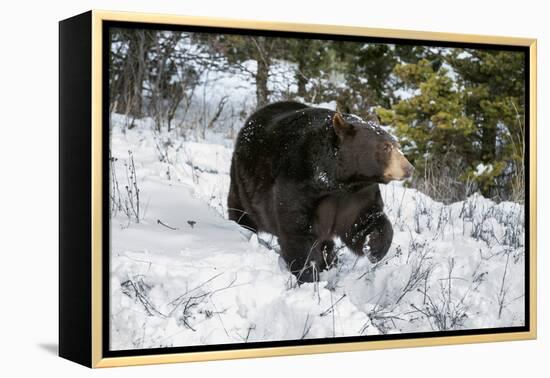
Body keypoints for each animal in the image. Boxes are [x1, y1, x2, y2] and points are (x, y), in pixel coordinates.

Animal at [229, 102, 414, 282]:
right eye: (386, 147)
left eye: (396, 145)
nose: (409, 168)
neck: (338, 181)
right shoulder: (299, 185)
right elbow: (297, 232)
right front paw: (309, 275)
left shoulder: (357, 194)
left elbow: (363, 221)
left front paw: (374, 248)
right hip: (242, 184)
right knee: (241, 212)